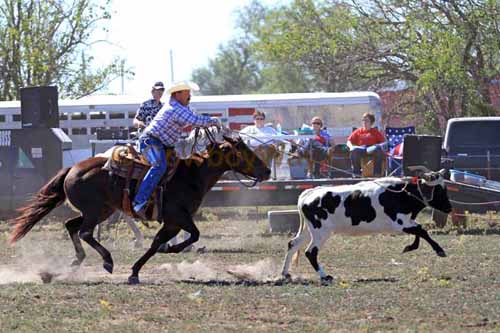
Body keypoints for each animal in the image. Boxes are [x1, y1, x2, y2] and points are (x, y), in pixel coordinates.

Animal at [7, 128, 272, 284]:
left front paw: (136, 271)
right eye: (244, 151)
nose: (267, 171)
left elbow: (156, 244)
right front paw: (168, 251)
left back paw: (74, 263)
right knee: (83, 232)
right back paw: (107, 261)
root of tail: (72, 168)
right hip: (95, 211)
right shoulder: (178, 217)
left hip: (102, 210)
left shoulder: (173, 222)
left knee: (72, 226)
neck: (192, 175)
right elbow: (192, 235)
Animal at [282, 169, 454, 282]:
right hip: (321, 232)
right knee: (311, 252)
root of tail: (308, 194)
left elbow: (419, 232)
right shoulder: (399, 224)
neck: (401, 194)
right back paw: (325, 276)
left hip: (308, 230)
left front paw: (409, 247)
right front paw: (439, 250)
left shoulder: (406, 222)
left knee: (292, 244)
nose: (449, 208)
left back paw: (285, 273)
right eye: (439, 189)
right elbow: (421, 230)